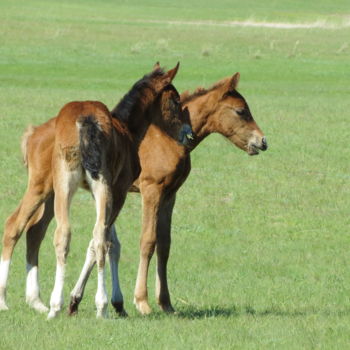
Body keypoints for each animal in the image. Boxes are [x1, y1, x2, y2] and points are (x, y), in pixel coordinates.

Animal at [0, 63, 191, 318]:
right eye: (176, 100)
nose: (187, 133)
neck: (126, 126)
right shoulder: (118, 191)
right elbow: (106, 241)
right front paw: (110, 302)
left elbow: (107, 241)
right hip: (76, 186)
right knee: (25, 226)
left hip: (59, 187)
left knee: (52, 232)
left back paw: (48, 304)